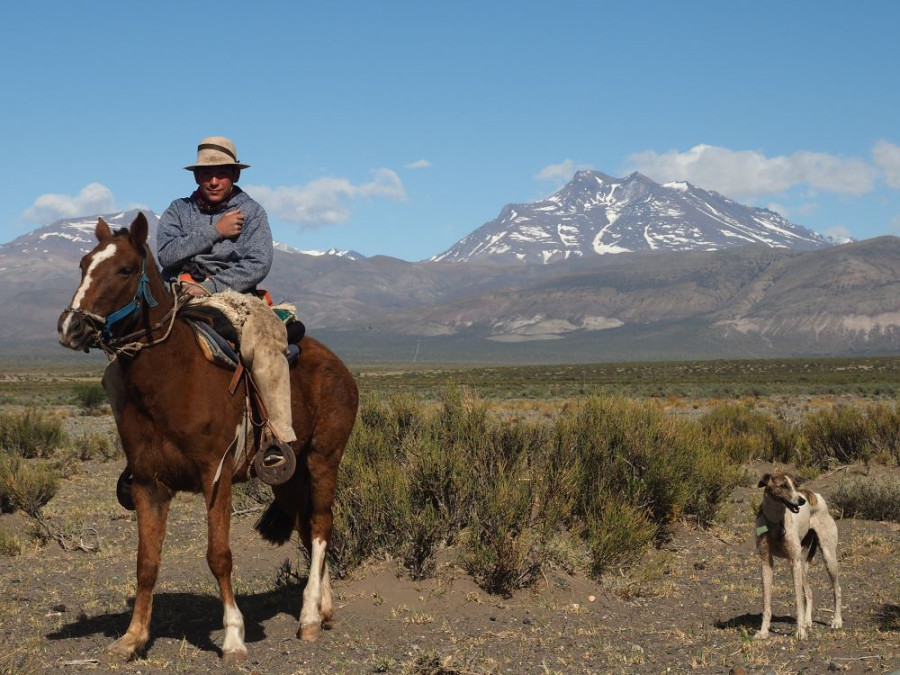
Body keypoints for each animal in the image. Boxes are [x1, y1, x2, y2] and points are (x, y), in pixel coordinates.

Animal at [54, 214, 358, 664]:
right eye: (83, 265)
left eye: (125, 269)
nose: (71, 327)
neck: (171, 379)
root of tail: (339, 365)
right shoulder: (148, 484)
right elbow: (146, 561)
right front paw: (132, 638)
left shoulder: (216, 476)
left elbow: (219, 556)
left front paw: (233, 637)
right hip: (292, 472)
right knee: (307, 528)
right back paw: (325, 608)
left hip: (324, 457)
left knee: (321, 527)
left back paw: (308, 618)